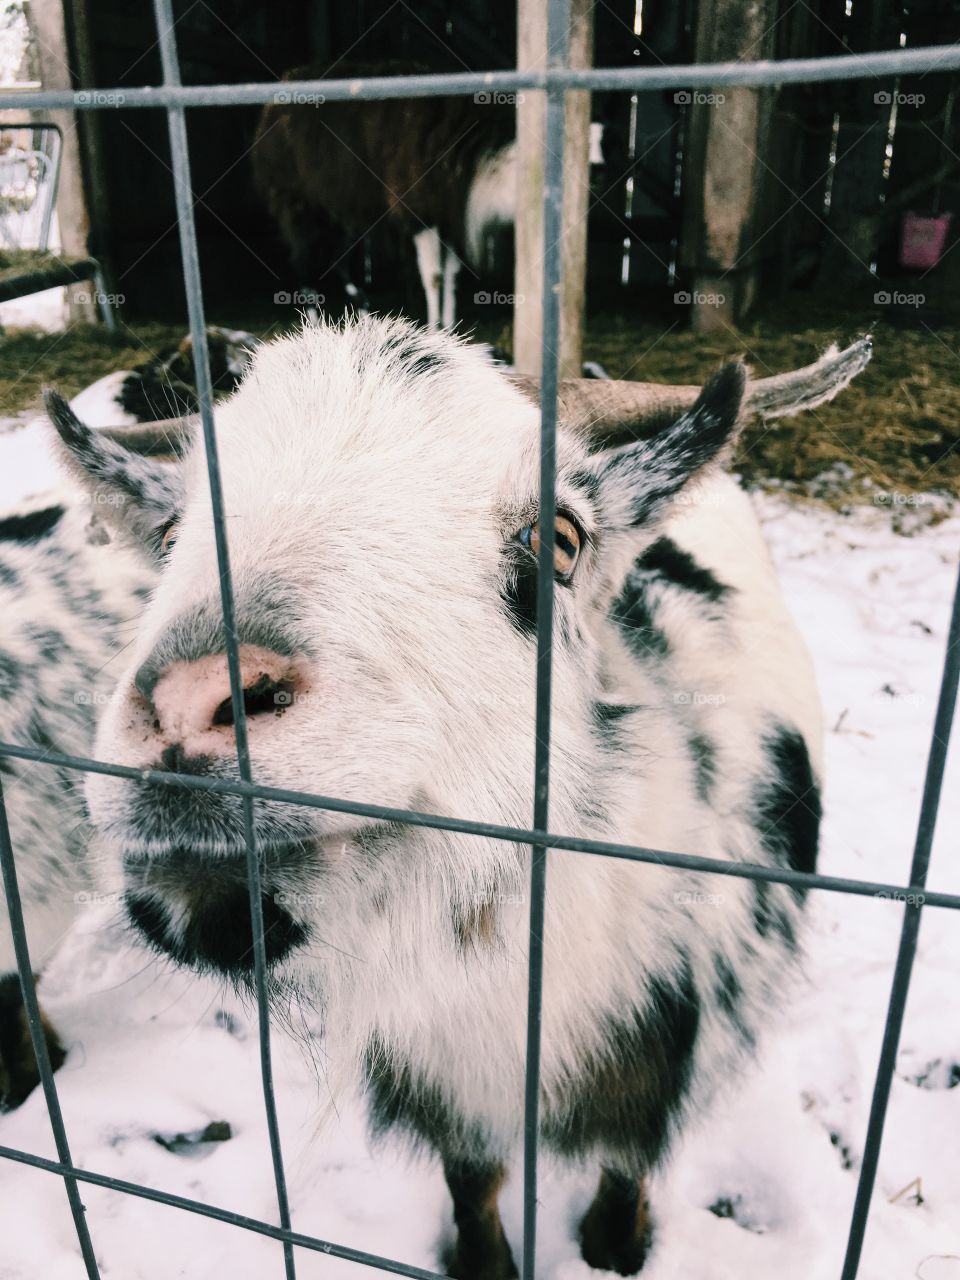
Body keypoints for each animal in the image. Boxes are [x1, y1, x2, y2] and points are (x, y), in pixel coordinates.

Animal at [44, 321, 869, 1274]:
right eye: (173, 530)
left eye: (560, 540)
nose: (191, 706)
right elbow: (473, 1183)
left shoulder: (660, 1064)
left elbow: (624, 1171)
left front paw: (615, 1245)